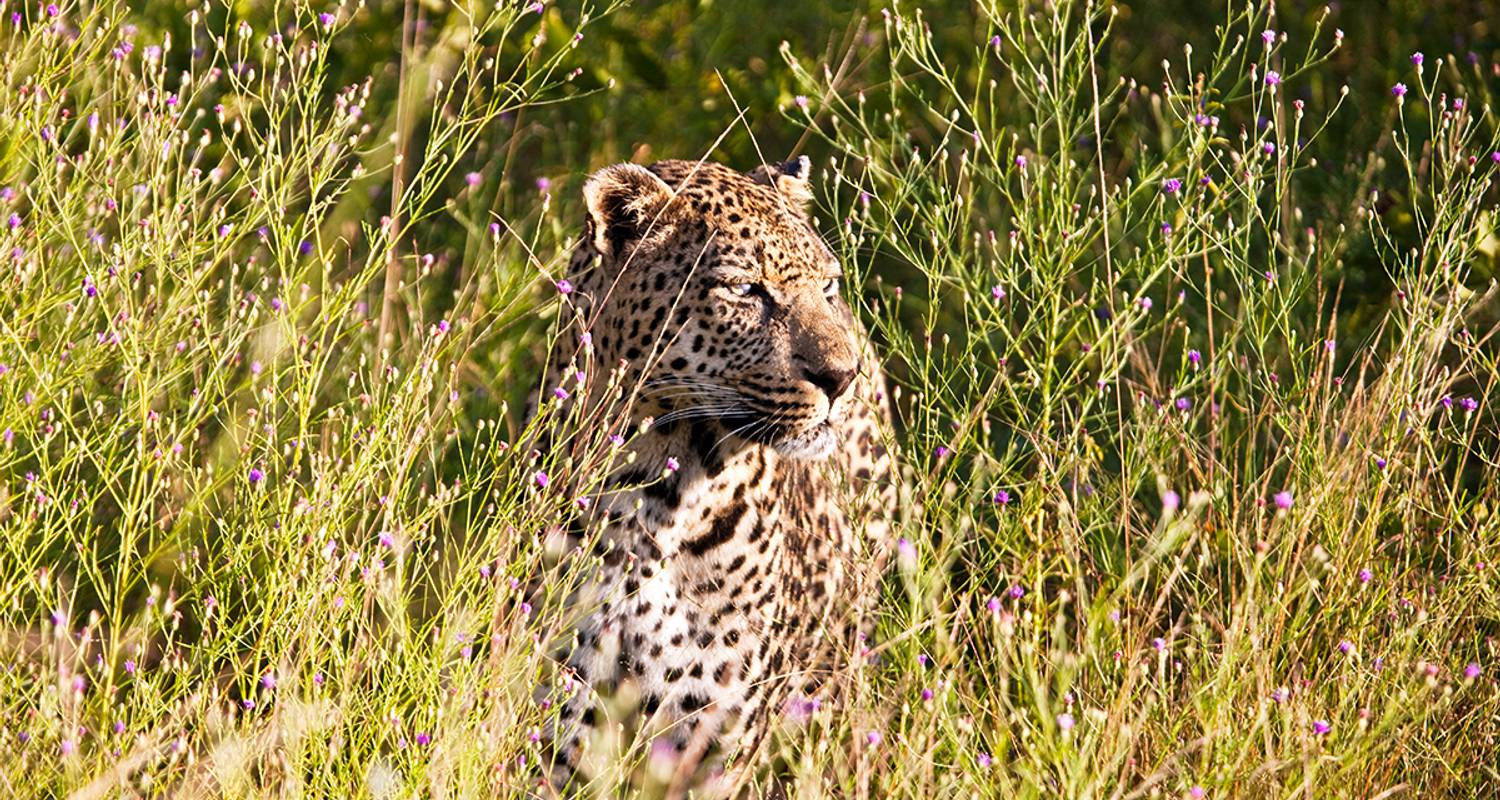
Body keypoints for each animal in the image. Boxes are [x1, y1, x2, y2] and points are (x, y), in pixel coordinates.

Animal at [531, 156, 888, 792]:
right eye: (746, 290)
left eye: (826, 287)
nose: (842, 377)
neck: (655, 498)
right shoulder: (559, 737)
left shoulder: (714, 752)